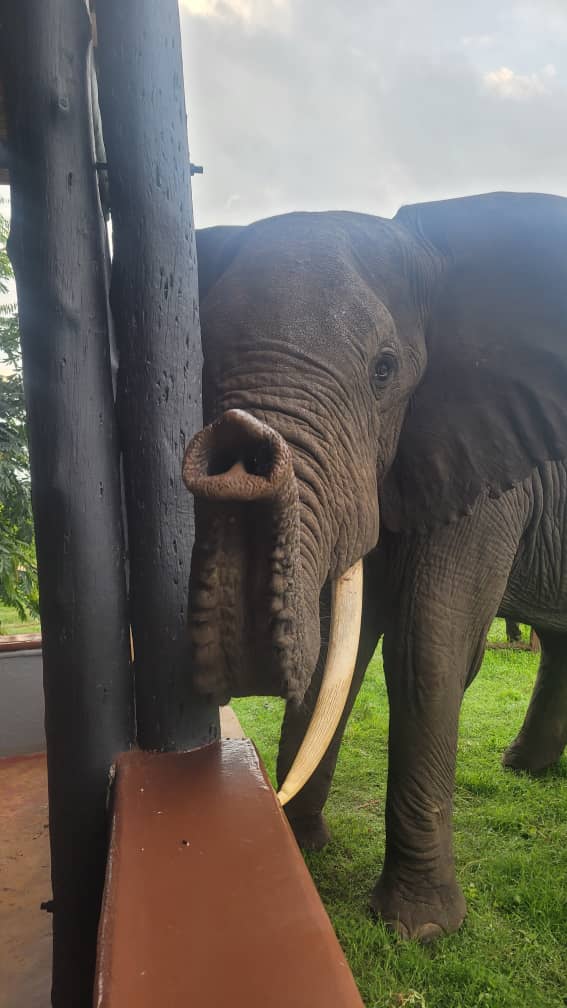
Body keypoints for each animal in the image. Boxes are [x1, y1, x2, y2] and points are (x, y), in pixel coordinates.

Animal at [182, 192, 567, 942]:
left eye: (383, 370)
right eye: (202, 365)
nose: (238, 447)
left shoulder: (485, 465)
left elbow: (429, 649)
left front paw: (419, 929)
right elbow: (340, 638)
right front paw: (303, 850)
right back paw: (524, 770)